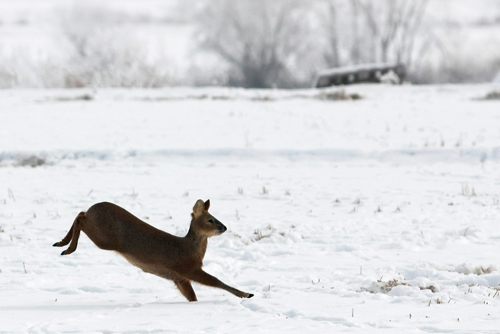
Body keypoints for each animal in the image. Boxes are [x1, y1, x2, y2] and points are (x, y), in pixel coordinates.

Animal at [53, 200, 254, 302]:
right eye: (211, 219)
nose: (224, 227)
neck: (190, 249)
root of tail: (94, 207)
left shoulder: (180, 278)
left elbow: (192, 297)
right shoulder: (188, 268)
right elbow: (216, 281)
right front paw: (246, 294)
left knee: (80, 214)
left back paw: (61, 244)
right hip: (105, 238)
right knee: (80, 218)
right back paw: (67, 248)